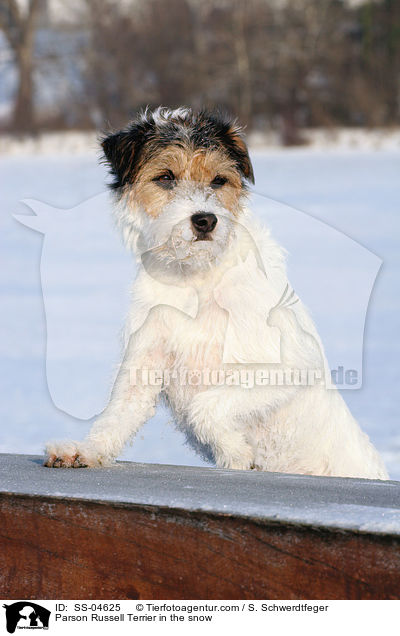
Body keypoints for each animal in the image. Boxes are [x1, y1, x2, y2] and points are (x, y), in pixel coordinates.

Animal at [43, 108, 388, 476]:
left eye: (219, 180)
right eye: (165, 177)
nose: (205, 220)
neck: (195, 278)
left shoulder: (289, 365)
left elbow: (205, 406)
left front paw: (235, 451)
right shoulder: (145, 363)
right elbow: (117, 415)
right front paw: (85, 450)